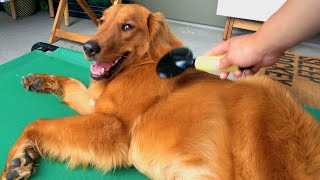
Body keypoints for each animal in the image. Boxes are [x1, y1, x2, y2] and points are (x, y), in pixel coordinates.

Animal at [0, 4, 320, 180]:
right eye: (102, 21)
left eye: (127, 26)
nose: (88, 48)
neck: (142, 63)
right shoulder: (96, 105)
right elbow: (72, 83)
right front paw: (40, 79)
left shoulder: (112, 127)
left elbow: (38, 123)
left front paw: (19, 156)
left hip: (258, 93)